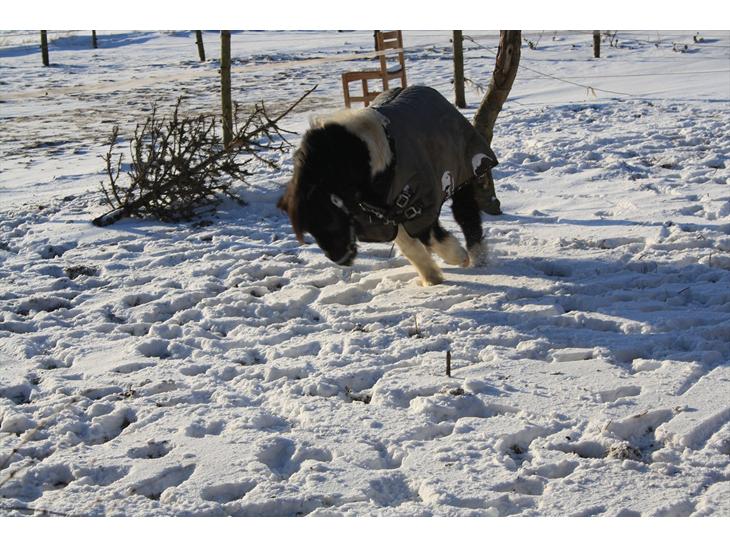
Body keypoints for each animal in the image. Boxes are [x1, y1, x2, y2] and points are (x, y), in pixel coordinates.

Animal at [277, 85, 498, 286]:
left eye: (330, 221)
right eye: (310, 229)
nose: (338, 259)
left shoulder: (419, 202)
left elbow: (428, 234)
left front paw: (457, 257)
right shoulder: (386, 213)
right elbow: (409, 244)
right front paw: (431, 277)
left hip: (462, 176)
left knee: (467, 216)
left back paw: (477, 258)